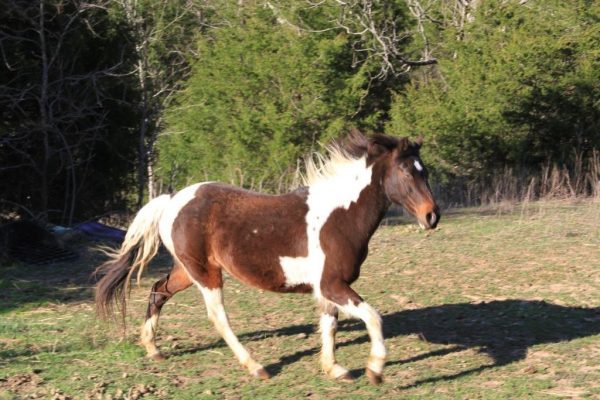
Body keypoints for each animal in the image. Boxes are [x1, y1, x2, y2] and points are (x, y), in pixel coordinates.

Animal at [96, 130, 438, 384]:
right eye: (406, 170)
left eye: (426, 172)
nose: (432, 216)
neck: (340, 216)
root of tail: (171, 200)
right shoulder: (332, 284)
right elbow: (373, 316)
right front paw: (375, 369)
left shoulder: (327, 288)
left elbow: (330, 325)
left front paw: (335, 369)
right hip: (206, 274)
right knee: (218, 318)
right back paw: (256, 366)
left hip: (187, 270)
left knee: (158, 291)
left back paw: (153, 350)